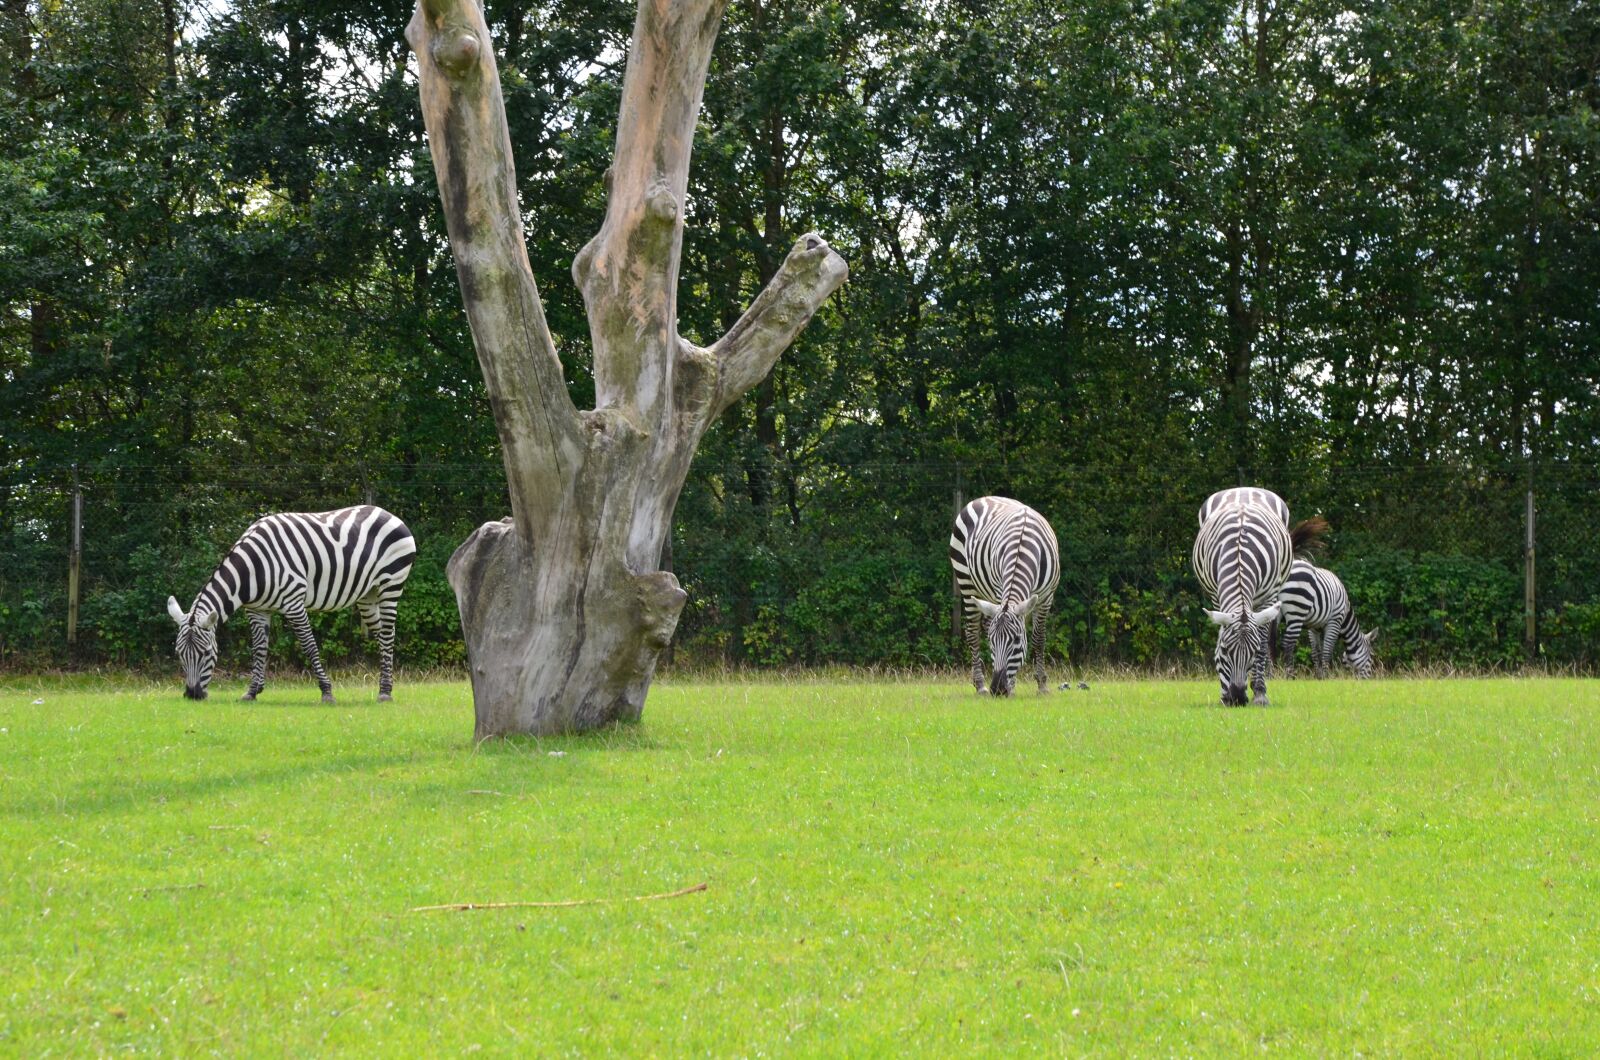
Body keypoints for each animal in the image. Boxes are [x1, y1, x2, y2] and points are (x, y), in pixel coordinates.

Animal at [165, 505, 416, 703]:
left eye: (207, 652)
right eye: (179, 653)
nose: (192, 695)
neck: (253, 569)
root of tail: (389, 514)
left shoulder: (293, 603)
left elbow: (309, 645)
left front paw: (327, 692)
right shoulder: (257, 610)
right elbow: (259, 649)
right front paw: (252, 691)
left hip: (391, 585)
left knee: (387, 634)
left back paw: (385, 693)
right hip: (368, 594)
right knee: (382, 634)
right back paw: (385, 686)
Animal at [949, 496, 1060, 696]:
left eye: (1016, 640)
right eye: (992, 641)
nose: (998, 690)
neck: (1024, 546)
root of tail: (982, 498)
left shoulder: (1047, 597)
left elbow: (1039, 638)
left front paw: (1042, 684)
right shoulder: (1000, 589)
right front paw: (1013, 685)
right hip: (967, 583)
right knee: (972, 632)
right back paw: (980, 685)